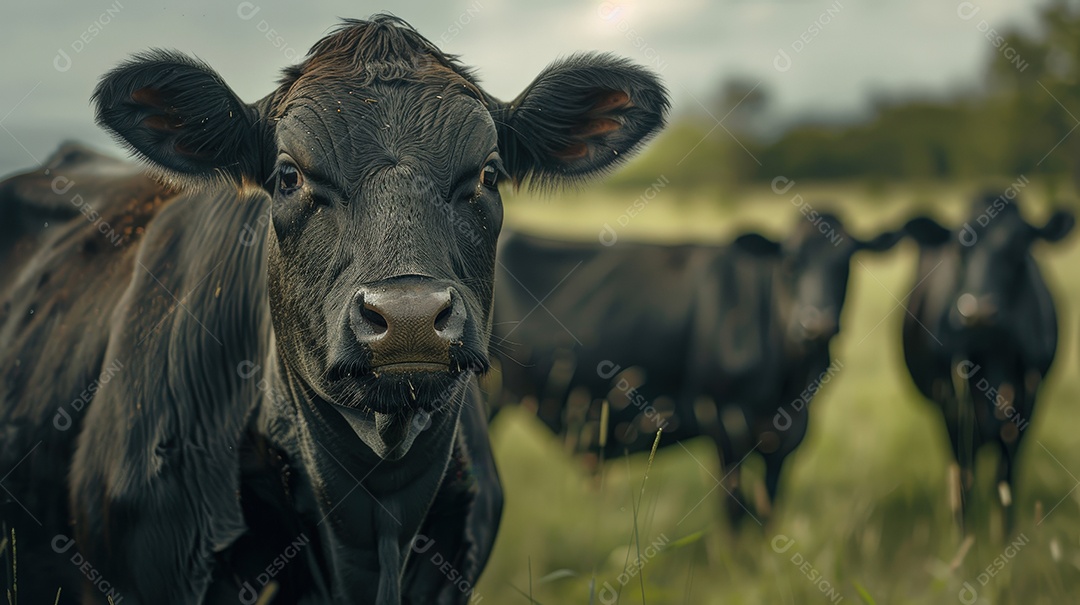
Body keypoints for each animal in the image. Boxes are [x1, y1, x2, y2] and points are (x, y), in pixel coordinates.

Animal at [490, 210, 902, 522]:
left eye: (847, 261)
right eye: (790, 261)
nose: (815, 323)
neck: (789, 378)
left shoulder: (789, 435)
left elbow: (768, 508)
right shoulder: (726, 423)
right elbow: (733, 511)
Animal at [902, 194, 1071, 533]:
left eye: (1021, 243)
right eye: (959, 246)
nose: (978, 311)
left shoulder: (1027, 400)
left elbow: (1006, 477)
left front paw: (1004, 536)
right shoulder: (951, 403)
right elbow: (963, 478)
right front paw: (965, 537)